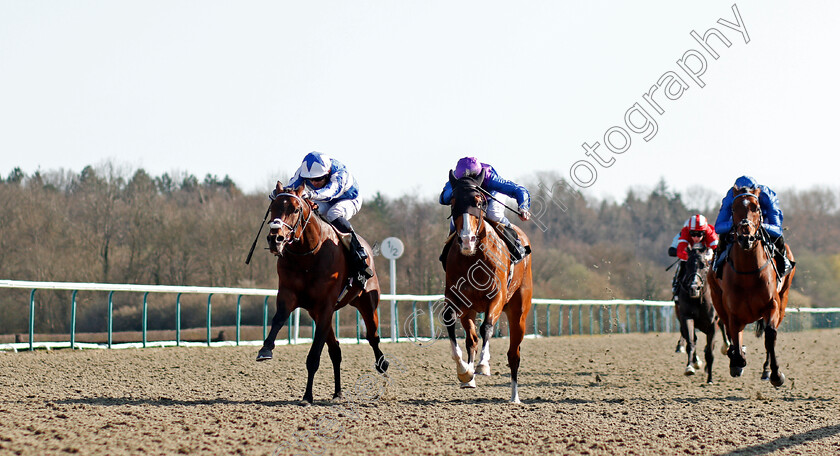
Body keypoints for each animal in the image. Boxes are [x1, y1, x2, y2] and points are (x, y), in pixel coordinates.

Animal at [258, 183, 388, 404]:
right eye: (273, 207)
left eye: (295, 209)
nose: (276, 238)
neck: (308, 255)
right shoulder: (289, 295)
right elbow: (278, 318)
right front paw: (265, 349)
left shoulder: (325, 305)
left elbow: (314, 356)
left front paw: (307, 396)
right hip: (318, 314)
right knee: (336, 350)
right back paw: (337, 393)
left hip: (367, 302)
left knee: (373, 336)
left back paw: (382, 364)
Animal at [440, 171, 532, 402]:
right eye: (453, 201)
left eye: (479, 201)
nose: (466, 240)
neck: (473, 258)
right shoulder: (456, 298)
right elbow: (451, 321)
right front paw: (465, 372)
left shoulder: (497, 296)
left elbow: (488, 327)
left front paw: (483, 364)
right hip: (470, 310)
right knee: (472, 339)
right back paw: (470, 379)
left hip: (518, 312)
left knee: (513, 354)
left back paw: (514, 397)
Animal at [708, 188, 796, 384]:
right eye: (733, 209)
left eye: (756, 208)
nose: (745, 237)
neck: (748, 274)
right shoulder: (732, 312)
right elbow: (734, 337)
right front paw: (737, 361)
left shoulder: (772, 304)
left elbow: (770, 335)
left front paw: (776, 374)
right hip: (717, 299)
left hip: (784, 299)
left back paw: (766, 370)